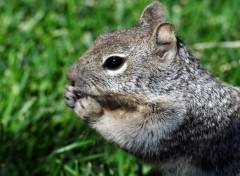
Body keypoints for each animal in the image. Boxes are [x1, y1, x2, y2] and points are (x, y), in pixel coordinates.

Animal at [63, 1, 240, 176]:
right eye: (101, 37)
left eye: (114, 62)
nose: (69, 75)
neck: (178, 87)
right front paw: (70, 94)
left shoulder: (173, 122)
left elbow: (135, 136)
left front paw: (93, 110)